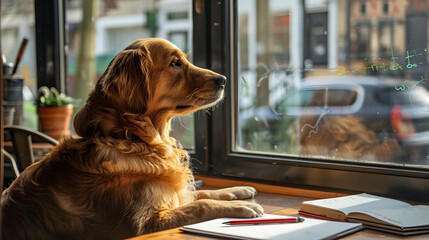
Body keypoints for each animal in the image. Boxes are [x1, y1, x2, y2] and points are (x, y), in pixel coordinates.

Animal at [1, 38, 262, 239]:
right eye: (175, 63)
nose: (223, 79)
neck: (136, 138)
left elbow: (198, 193)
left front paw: (236, 191)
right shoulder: (144, 223)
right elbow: (198, 205)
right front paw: (240, 207)